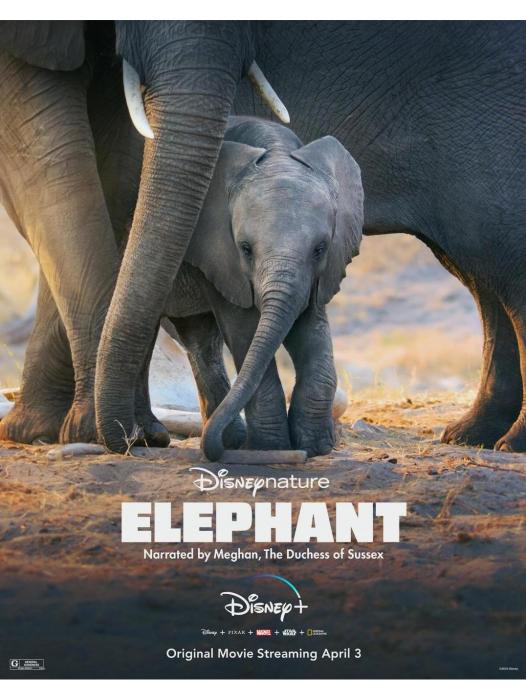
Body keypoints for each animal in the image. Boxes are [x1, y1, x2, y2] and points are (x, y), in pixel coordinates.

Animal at [162, 116, 362, 458]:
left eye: (320, 249)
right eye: (245, 249)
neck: (276, 152)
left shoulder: (318, 275)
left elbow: (310, 328)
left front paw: (316, 447)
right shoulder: (219, 252)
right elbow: (245, 329)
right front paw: (271, 448)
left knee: (198, 339)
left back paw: (229, 439)